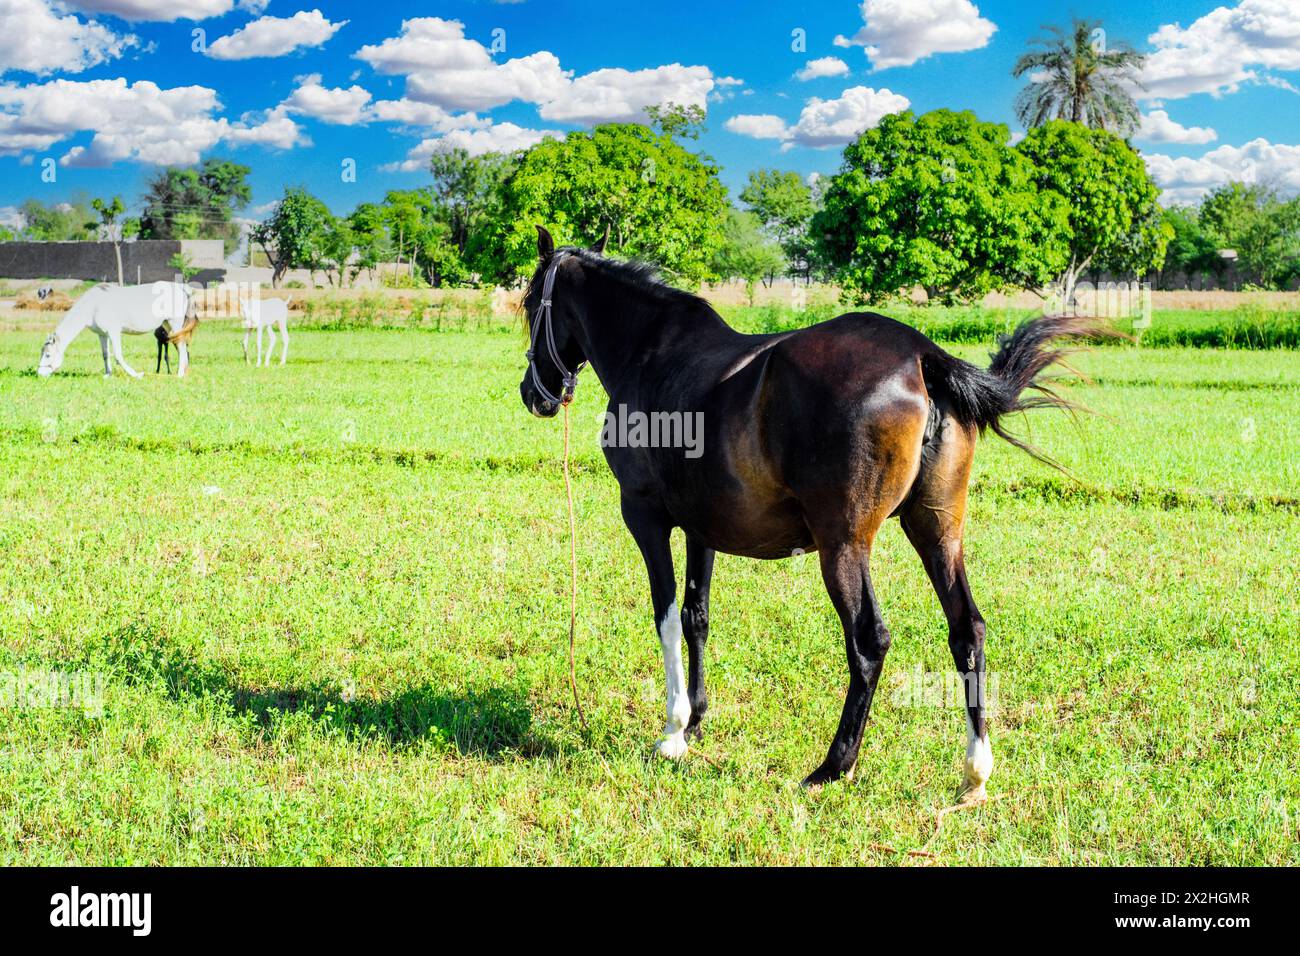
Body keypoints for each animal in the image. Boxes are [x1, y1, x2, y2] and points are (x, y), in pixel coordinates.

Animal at [37, 282, 195, 379]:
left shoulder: (113, 332)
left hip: (174, 324)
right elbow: (105, 354)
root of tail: (181, 288)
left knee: (182, 349)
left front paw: (136, 375)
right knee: (181, 349)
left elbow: (118, 355)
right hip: (168, 326)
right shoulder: (102, 334)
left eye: (47, 355)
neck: (93, 305)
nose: (40, 373)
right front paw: (108, 374)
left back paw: (179, 374)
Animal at [519, 226, 1107, 795]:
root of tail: (922, 357)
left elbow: (664, 618)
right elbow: (695, 616)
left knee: (869, 642)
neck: (652, 354)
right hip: (936, 531)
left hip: (842, 546)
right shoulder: (701, 528)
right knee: (968, 630)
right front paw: (696, 722)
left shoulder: (646, 518)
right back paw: (974, 770)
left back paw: (833, 765)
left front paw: (673, 730)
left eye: (529, 304)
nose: (533, 394)